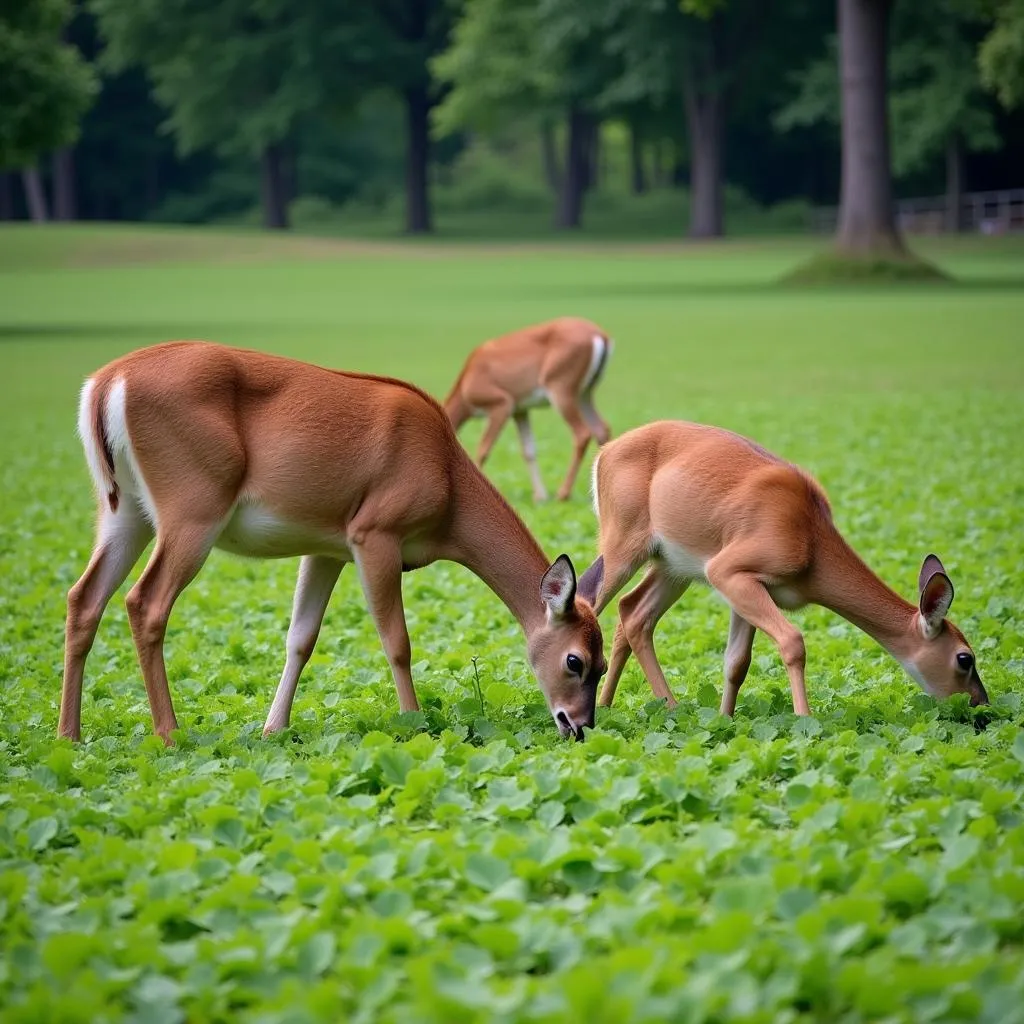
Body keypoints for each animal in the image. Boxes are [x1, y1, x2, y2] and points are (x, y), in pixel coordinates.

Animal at [59, 339, 606, 749]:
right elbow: (397, 641)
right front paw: (415, 724)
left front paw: (273, 728)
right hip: (192, 510)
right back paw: (170, 735)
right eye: (575, 660)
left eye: (603, 663)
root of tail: (106, 384)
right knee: (145, 602)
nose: (579, 727)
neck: (448, 480)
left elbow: (301, 637)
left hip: (124, 511)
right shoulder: (374, 534)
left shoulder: (325, 549)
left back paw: (70, 735)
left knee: (84, 597)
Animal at [444, 313, 610, 501]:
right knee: (601, 428)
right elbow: (528, 450)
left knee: (582, 432)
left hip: (560, 387)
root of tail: (600, 335)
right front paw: (540, 496)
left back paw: (563, 494)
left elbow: (483, 448)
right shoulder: (520, 410)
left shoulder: (502, 403)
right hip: (584, 393)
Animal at [577, 419, 983, 716]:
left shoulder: (743, 585)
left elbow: (737, 662)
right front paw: (805, 719)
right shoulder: (728, 570)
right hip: (622, 547)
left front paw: (725, 720)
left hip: (672, 568)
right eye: (965, 658)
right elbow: (793, 641)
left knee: (633, 613)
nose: (981, 704)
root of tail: (604, 454)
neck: (809, 537)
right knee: (586, 602)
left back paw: (631, 705)